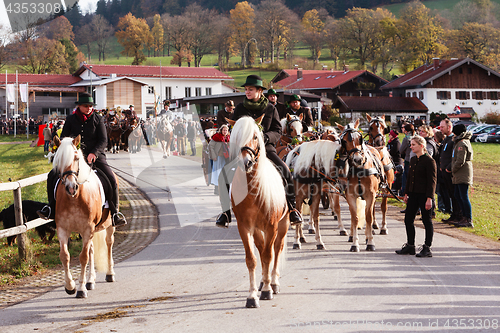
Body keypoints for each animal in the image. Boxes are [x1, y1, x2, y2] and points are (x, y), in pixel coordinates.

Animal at [51, 134, 116, 296]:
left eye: (76, 158)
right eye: (58, 159)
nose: (71, 187)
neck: (75, 198)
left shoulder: (88, 229)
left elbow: (83, 257)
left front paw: (80, 289)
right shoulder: (63, 229)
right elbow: (65, 256)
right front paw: (70, 286)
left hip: (109, 225)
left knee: (109, 243)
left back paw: (110, 273)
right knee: (92, 249)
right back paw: (90, 280)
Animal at [227, 115, 290, 308]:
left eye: (255, 136)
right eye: (235, 137)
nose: (245, 162)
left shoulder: (272, 226)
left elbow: (269, 256)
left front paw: (268, 290)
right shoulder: (245, 227)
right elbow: (252, 259)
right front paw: (252, 295)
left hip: (283, 224)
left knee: (276, 248)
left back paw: (273, 282)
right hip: (257, 230)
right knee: (262, 250)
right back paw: (263, 281)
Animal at [338, 118, 384, 250]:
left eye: (360, 138)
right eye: (344, 141)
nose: (358, 159)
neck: (359, 169)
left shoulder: (371, 195)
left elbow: (369, 217)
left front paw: (370, 242)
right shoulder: (350, 196)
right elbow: (355, 218)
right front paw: (355, 243)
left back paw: (368, 236)